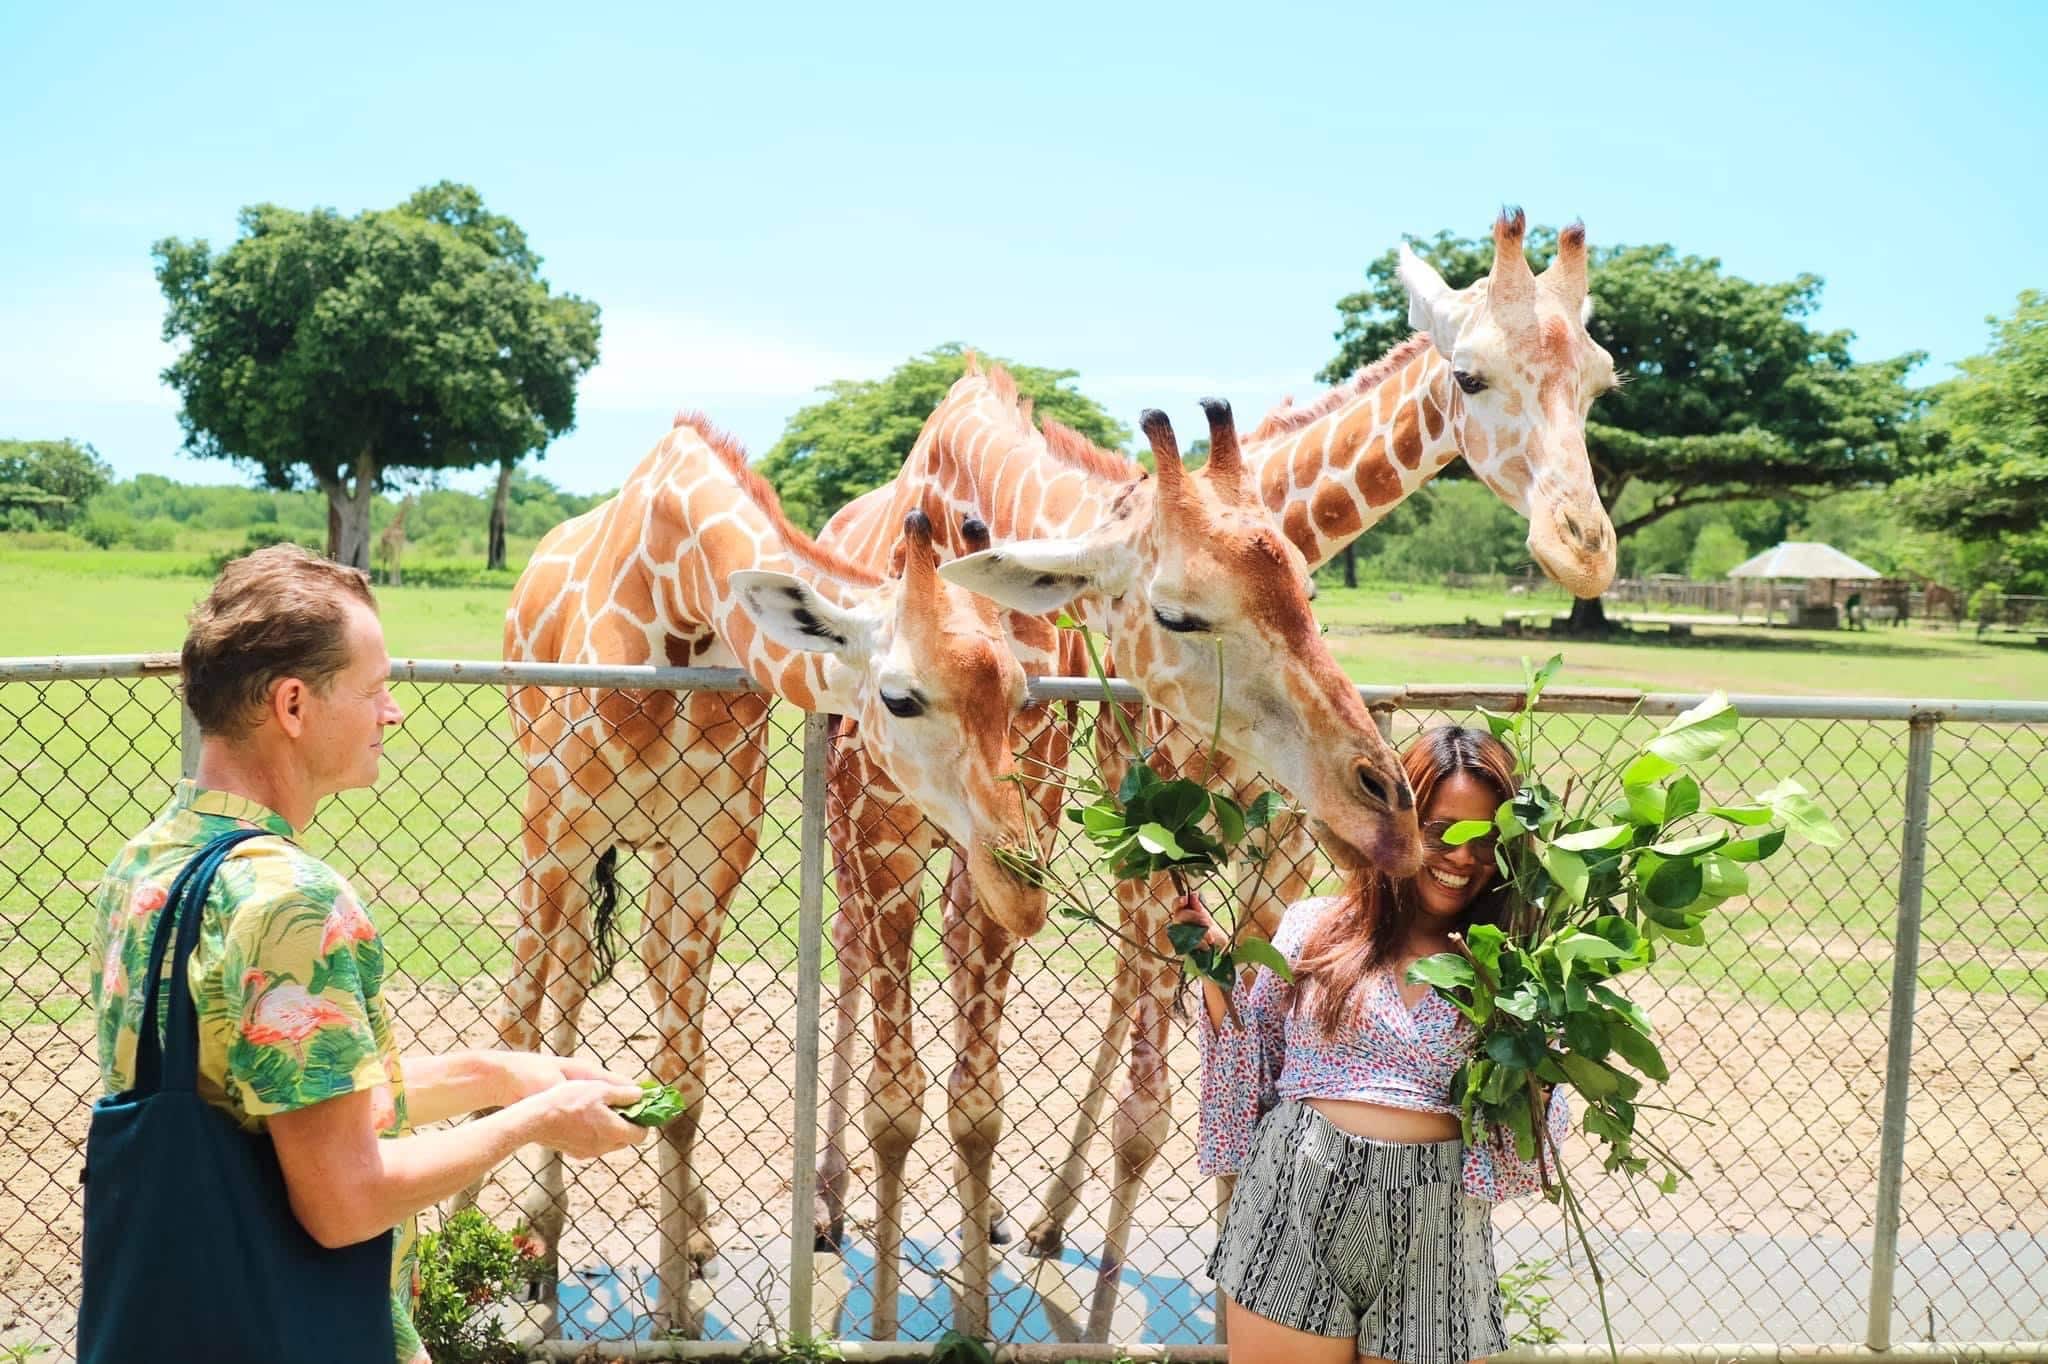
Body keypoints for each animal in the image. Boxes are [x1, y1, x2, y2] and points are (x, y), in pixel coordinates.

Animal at [488, 410, 1050, 1337]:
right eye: (900, 697)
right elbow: (514, 1031)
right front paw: (479, 1249)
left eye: (1019, 695)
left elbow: (682, 1080)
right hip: (570, 844)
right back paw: (542, 1237)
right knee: (561, 985)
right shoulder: (553, 832)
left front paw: (675, 1313)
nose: (1023, 889)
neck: (677, 596)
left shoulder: (711, 843)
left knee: (637, 972)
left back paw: (692, 1236)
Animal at [807, 361, 1422, 1338]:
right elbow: (897, 1102)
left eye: (1308, 593)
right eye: (1179, 614)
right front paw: (891, 1328)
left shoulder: (1060, 836)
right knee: (855, 955)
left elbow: (987, 1102)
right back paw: (833, 1208)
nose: (1387, 802)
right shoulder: (882, 836)